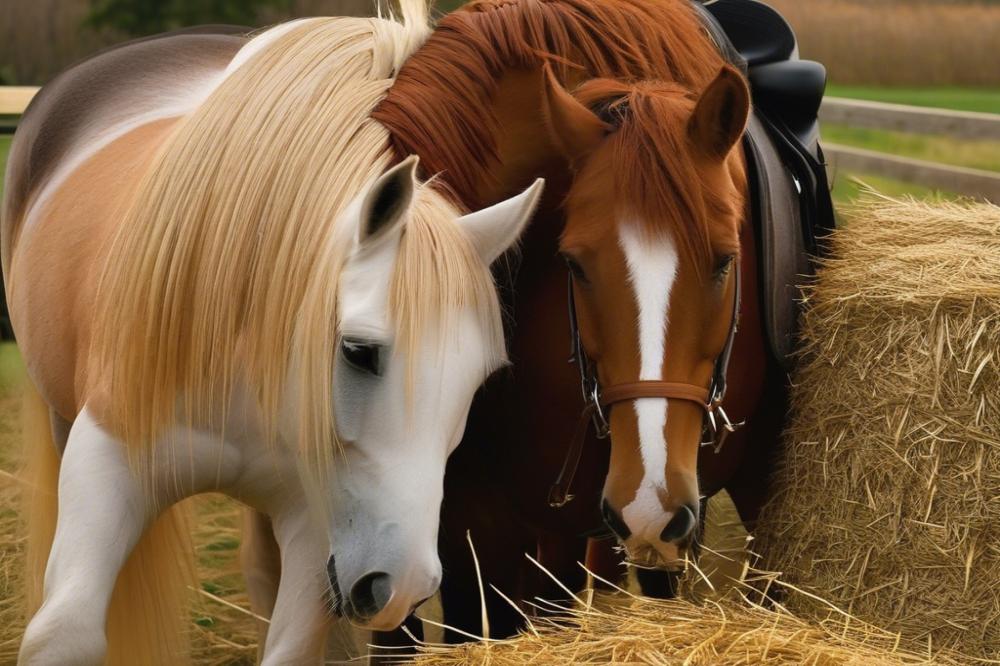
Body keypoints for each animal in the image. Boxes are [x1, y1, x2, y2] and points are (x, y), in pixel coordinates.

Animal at [3, 7, 544, 660]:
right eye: (358, 351)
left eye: (480, 380)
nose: (402, 585)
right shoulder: (108, 454)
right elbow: (65, 633)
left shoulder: (317, 525)